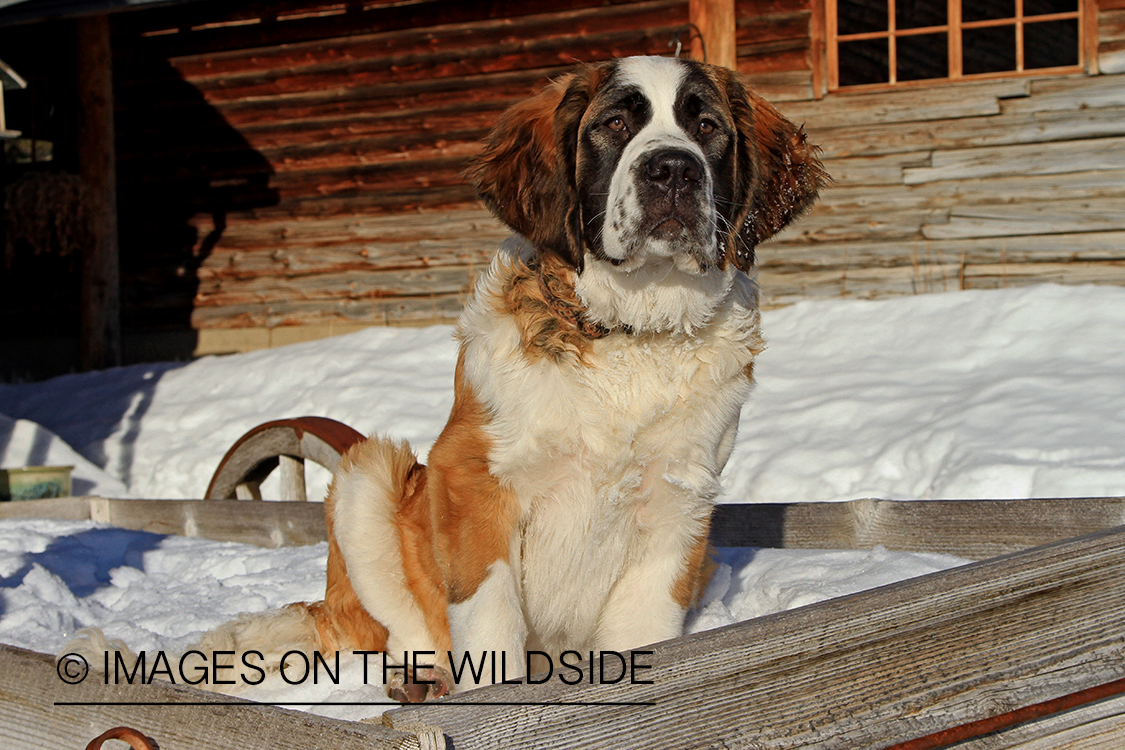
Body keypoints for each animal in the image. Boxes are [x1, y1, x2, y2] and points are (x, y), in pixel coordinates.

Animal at [200, 57, 828, 706]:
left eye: (706, 126)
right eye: (613, 124)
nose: (674, 168)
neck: (628, 333)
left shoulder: (677, 503)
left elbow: (643, 630)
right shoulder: (472, 481)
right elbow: (491, 626)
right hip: (368, 479)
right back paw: (422, 680)